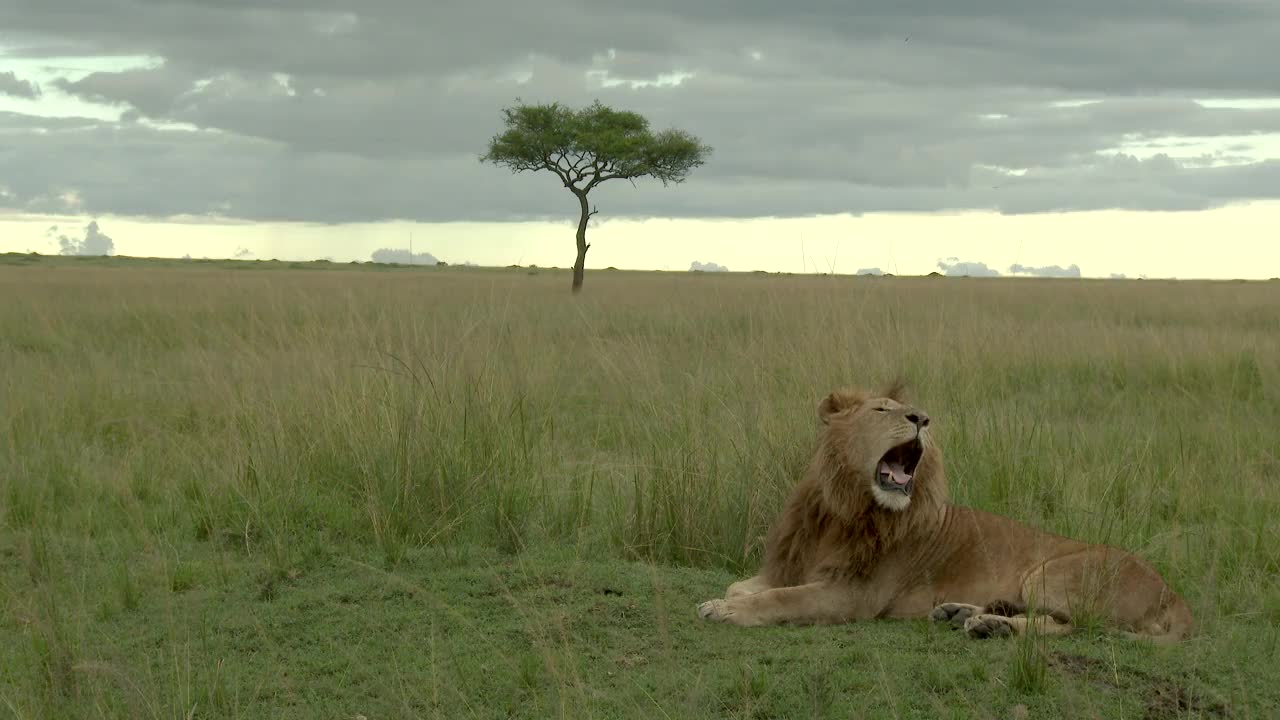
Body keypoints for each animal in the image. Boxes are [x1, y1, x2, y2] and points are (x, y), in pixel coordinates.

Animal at [701, 379, 1187, 640]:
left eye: (913, 412)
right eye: (882, 409)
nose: (922, 418)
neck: (842, 507)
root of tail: (1173, 594)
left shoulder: (855, 594)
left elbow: (784, 598)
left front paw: (726, 611)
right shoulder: (796, 565)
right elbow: (744, 585)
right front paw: (732, 598)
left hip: (1050, 574)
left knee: (1076, 625)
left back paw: (992, 626)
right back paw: (964, 614)